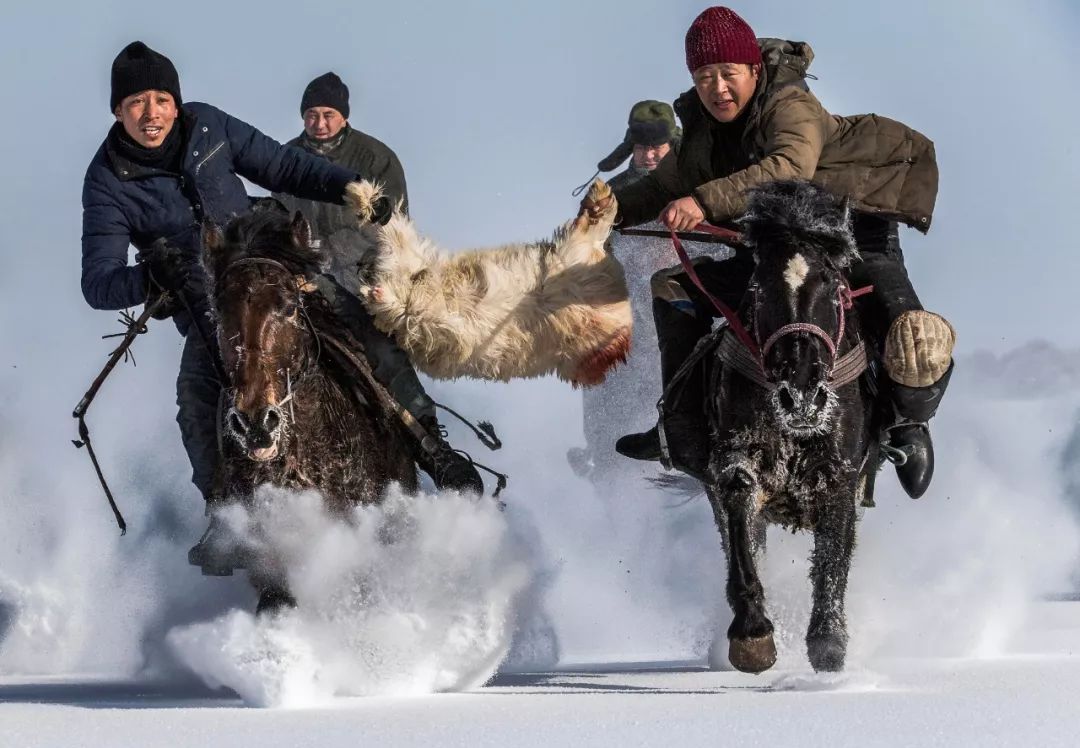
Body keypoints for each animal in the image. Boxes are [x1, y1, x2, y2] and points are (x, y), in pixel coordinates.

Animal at [699, 179, 885, 669]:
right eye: (759, 288)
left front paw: (828, 643)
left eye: (833, 284)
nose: (801, 395)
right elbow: (740, 513)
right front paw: (753, 633)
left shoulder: (840, 474)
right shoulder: (736, 459)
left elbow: (833, 555)